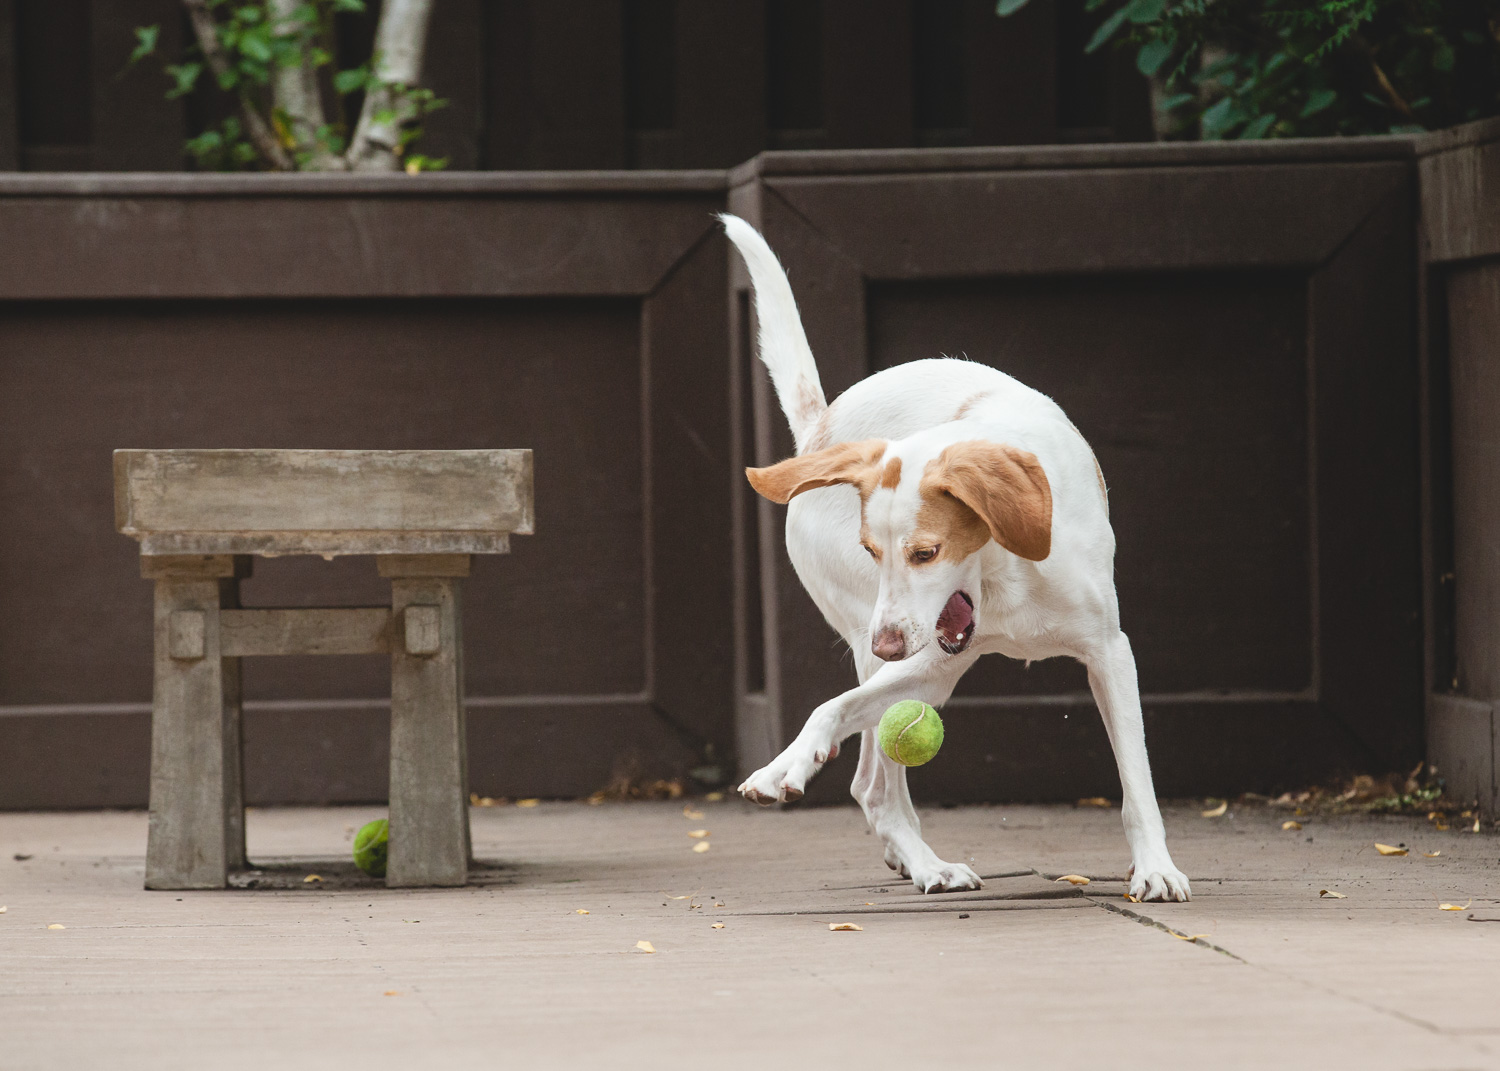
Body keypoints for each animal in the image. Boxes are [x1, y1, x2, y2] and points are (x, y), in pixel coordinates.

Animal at [726, 213, 1194, 894]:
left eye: (926, 552)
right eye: (871, 550)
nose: (886, 644)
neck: (1004, 574)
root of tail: (821, 432)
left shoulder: (1109, 653)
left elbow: (1137, 781)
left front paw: (1156, 866)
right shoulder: (927, 663)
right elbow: (829, 708)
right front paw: (785, 764)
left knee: (872, 779)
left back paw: (913, 858)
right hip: (891, 654)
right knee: (873, 786)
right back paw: (926, 863)